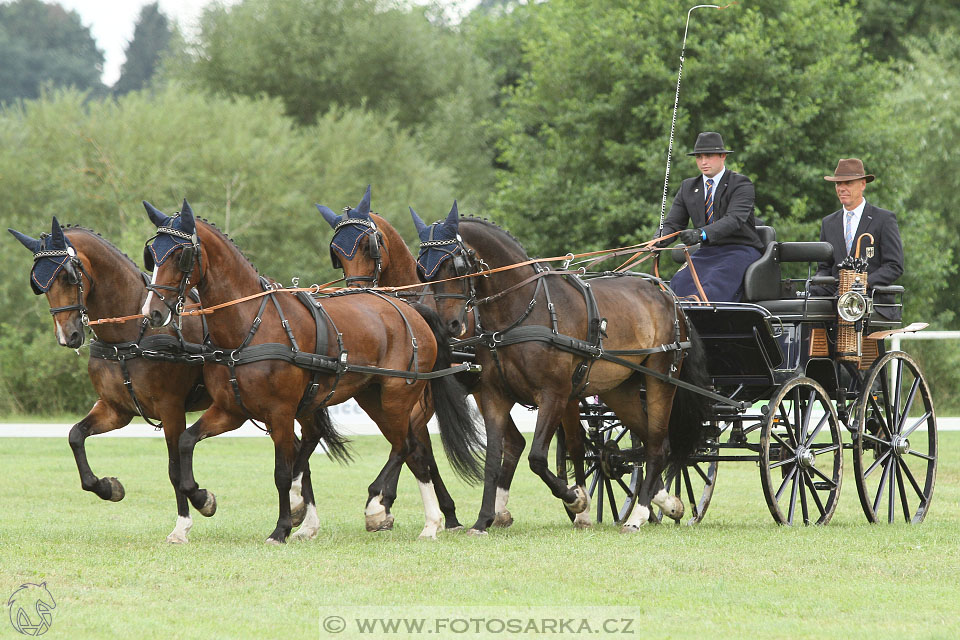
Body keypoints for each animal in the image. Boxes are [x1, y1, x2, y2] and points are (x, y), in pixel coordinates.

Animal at [7, 218, 212, 544]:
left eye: (68, 276)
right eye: (39, 284)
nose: (67, 336)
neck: (132, 334)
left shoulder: (171, 409)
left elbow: (175, 469)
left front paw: (187, 519)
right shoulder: (116, 409)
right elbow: (75, 435)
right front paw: (108, 487)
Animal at [139, 199, 484, 540]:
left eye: (180, 254)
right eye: (152, 254)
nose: (152, 312)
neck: (250, 326)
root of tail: (411, 309)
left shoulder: (280, 412)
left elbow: (280, 472)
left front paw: (280, 528)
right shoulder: (230, 410)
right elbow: (186, 442)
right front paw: (203, 499)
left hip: (398, 394)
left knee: (406, 446)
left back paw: (385, 508)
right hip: (372, 397)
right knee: (410, 450)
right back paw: (426, 520)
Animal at [316, 190, 524, 528]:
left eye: (368, 245)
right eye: (336, 252)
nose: (357, 293)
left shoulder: (422, 400)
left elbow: (409, 447)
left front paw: (381, 503)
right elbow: (420, 452)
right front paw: (439, 512)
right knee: (515, 441)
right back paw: (500, 510)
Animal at [408, 208, 708, 532]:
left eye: (456, 265)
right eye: (422, 271)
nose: (449, 325)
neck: (522, 310)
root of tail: (669, 297)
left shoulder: (554, 394)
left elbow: (538, 457)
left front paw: (575, 499)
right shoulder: (493, 396)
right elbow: (494, 457)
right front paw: (483, 519)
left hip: (661, 379)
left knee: (656, 445)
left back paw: (638, 515)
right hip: (620, 391)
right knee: (654, 440)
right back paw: (667, 502)